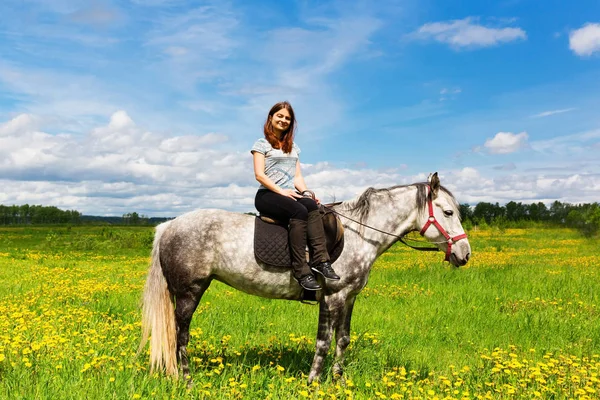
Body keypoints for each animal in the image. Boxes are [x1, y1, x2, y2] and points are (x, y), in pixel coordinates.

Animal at [139, 173, 468, 382]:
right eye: (448, 212)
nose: (464, 254)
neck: (360, 233)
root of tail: (167, 226)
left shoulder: (349, 298)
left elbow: (343, 339)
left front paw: (338, 381)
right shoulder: (332, 297)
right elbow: (323, 342)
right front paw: (313, 382)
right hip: (189, 292)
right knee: (180, 336)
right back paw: (186, 381)